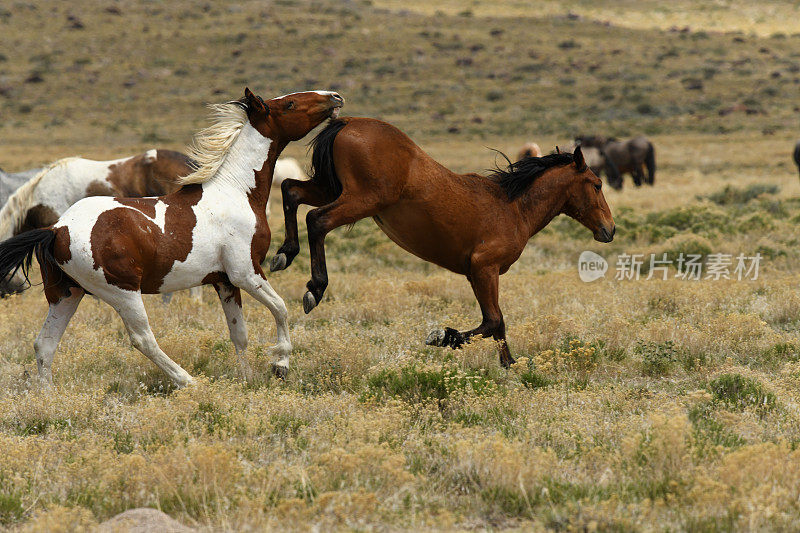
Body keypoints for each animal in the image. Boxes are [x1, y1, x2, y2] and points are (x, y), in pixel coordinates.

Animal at [268, 117, 612, 366]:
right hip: (362, 199)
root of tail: (348, 122)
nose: (609, 229)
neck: (513, 207)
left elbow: (497, 322)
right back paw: (315, 288)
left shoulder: (476, 273)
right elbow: (493, 321)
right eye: (597, 184)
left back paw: (284, 253)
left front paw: (509, 365)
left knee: (291, 190)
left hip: (331, 187)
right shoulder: (485, 268)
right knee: (317, 220)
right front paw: (443, 336)